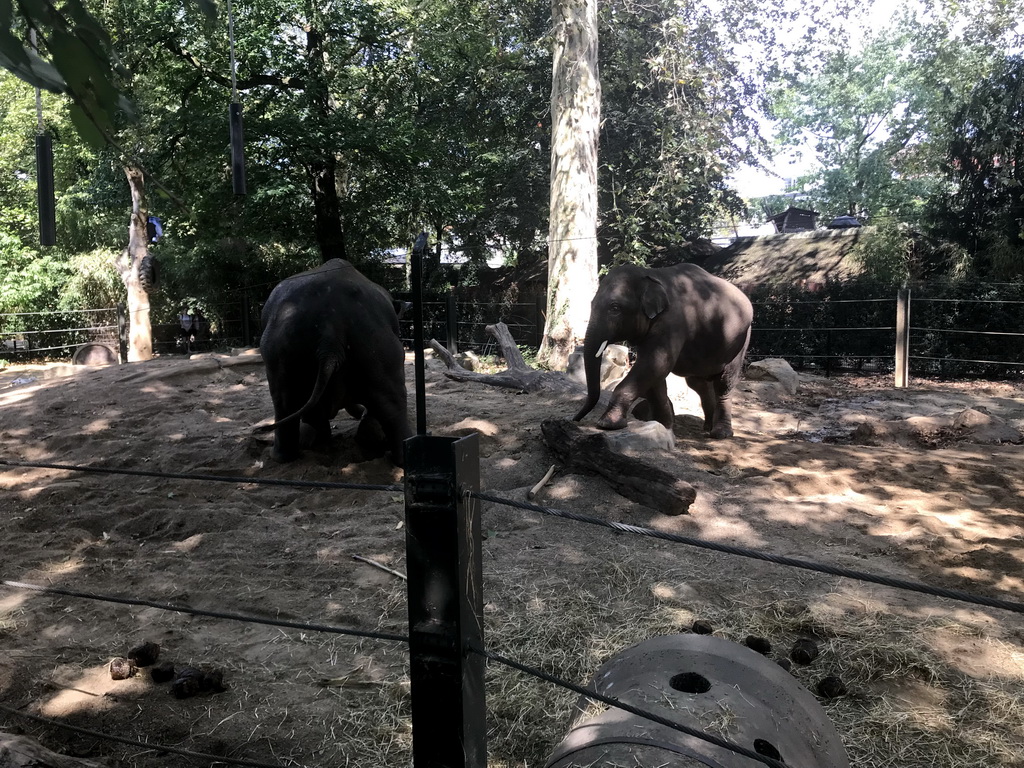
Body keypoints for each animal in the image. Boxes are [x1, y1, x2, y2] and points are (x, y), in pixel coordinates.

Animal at [577, 264, 753, 438]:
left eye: (615, 308)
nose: (576, 419)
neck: (650, 274)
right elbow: (655, 373)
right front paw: (662, 425)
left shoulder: (672, 321)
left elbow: (656, 363)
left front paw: (607, 424)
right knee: (698, 383)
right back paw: (707, 427)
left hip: (741, 339)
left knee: (724, 383)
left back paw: (720, 433)